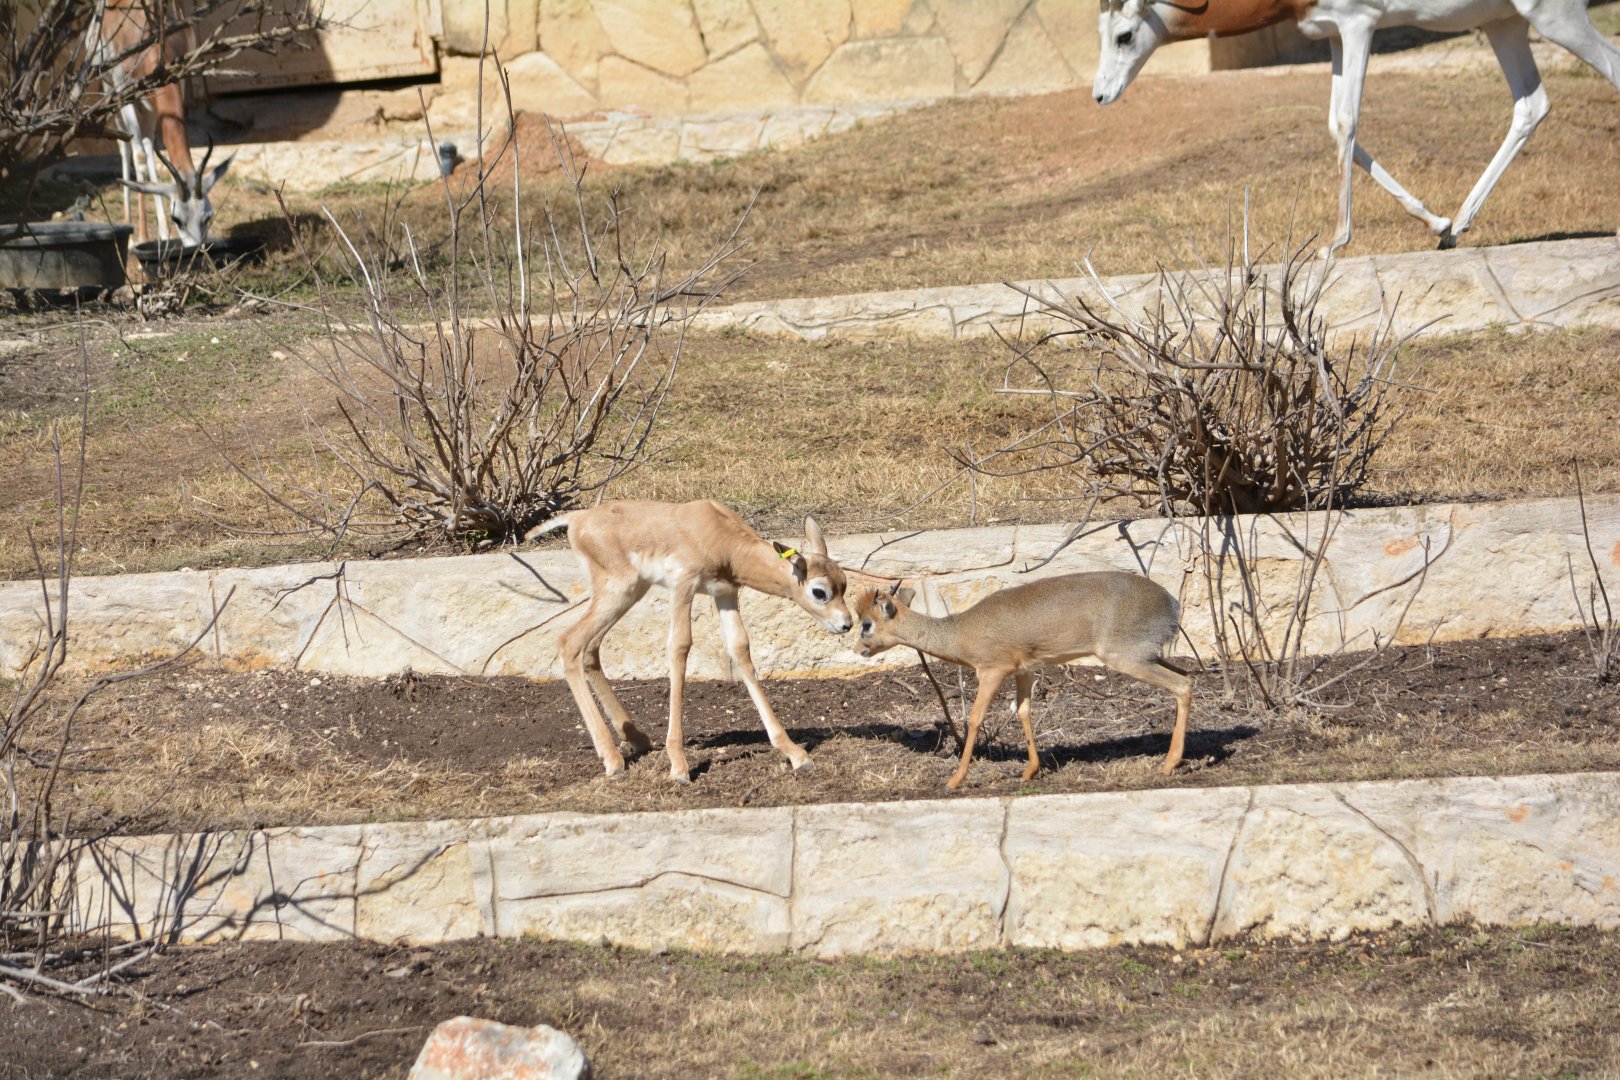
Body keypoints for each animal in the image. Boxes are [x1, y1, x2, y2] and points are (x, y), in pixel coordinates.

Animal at [92, 2, 234, 246]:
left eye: (207, 216)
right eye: (177, 219)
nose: (197, 249)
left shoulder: (178, 81)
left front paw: (160, 233)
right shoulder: (124, 92)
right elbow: (138, 157)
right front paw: (140, 237)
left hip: (149, 105)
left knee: (149, 146)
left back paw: (161, 234)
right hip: (110, 91)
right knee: (126, 147)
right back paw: (131, 231)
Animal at [533, 500, 854, 782]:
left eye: (844, 584)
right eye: (819, 591)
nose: (846, 624)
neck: (719, 539)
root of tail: (578, 519)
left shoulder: (725, 593)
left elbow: (740, 650)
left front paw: (795, 753)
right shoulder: (683, 586)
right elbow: (680, 647)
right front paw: (679, 767)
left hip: (630, 592)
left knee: (590, 648)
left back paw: (636, 740)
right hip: (619, 590)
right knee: (569, 642)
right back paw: (613, 761)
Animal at [852, 572, 1193, 791]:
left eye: (866, 624)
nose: (858, 650)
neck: (960, 633)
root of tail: (1172, 604)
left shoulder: (992, 670)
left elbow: (974, 718)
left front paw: (954, 781)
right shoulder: (1025, 670)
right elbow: (1024, 711)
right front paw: (1030, 771)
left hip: (1127, 657)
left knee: (1183, 685)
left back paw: (1169, 763)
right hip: (1149, 655)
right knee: (1188, 676)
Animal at [1092, 0, 1620, 254]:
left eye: (1124, 35)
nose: (1100, 95)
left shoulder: (1358, 23)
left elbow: (1347, 121)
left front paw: (1336, 241)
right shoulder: (1331, 33)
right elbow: (1334, 125)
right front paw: (1436, 221)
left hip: (1552, 17)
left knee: (1610, 68)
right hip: (1504, 22)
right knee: (1531, 104)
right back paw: (1458, 226)